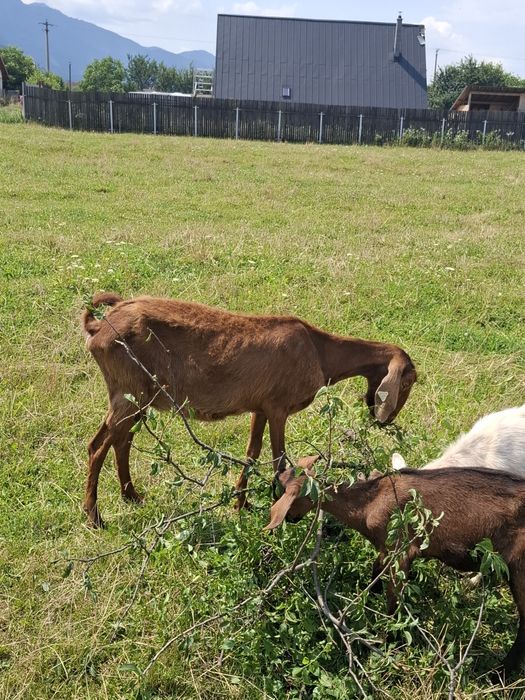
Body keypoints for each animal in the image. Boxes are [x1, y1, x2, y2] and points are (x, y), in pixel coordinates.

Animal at [81, 292, 416, 526]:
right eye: (408, 382)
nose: (385, 419)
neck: (319, 351)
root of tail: (98, 326)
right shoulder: (279, 407)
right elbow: (279, 458)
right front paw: (279, 507)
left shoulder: (261, 407)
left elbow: (252, 452)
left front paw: (241, 504)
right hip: (129, 393)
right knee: (99, 446)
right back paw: (95, 517)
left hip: (135, 397)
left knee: (119, 441)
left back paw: (131, 496)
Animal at [266, 458, 525, 675]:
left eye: (279, 489)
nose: (289, 518)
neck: (371, 501)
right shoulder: (385, 548)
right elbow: (375, 573)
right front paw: (368, 604)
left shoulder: (400, 549)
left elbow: (393, 599)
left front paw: (387, 643)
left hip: (519, 569)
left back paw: (499, 673)